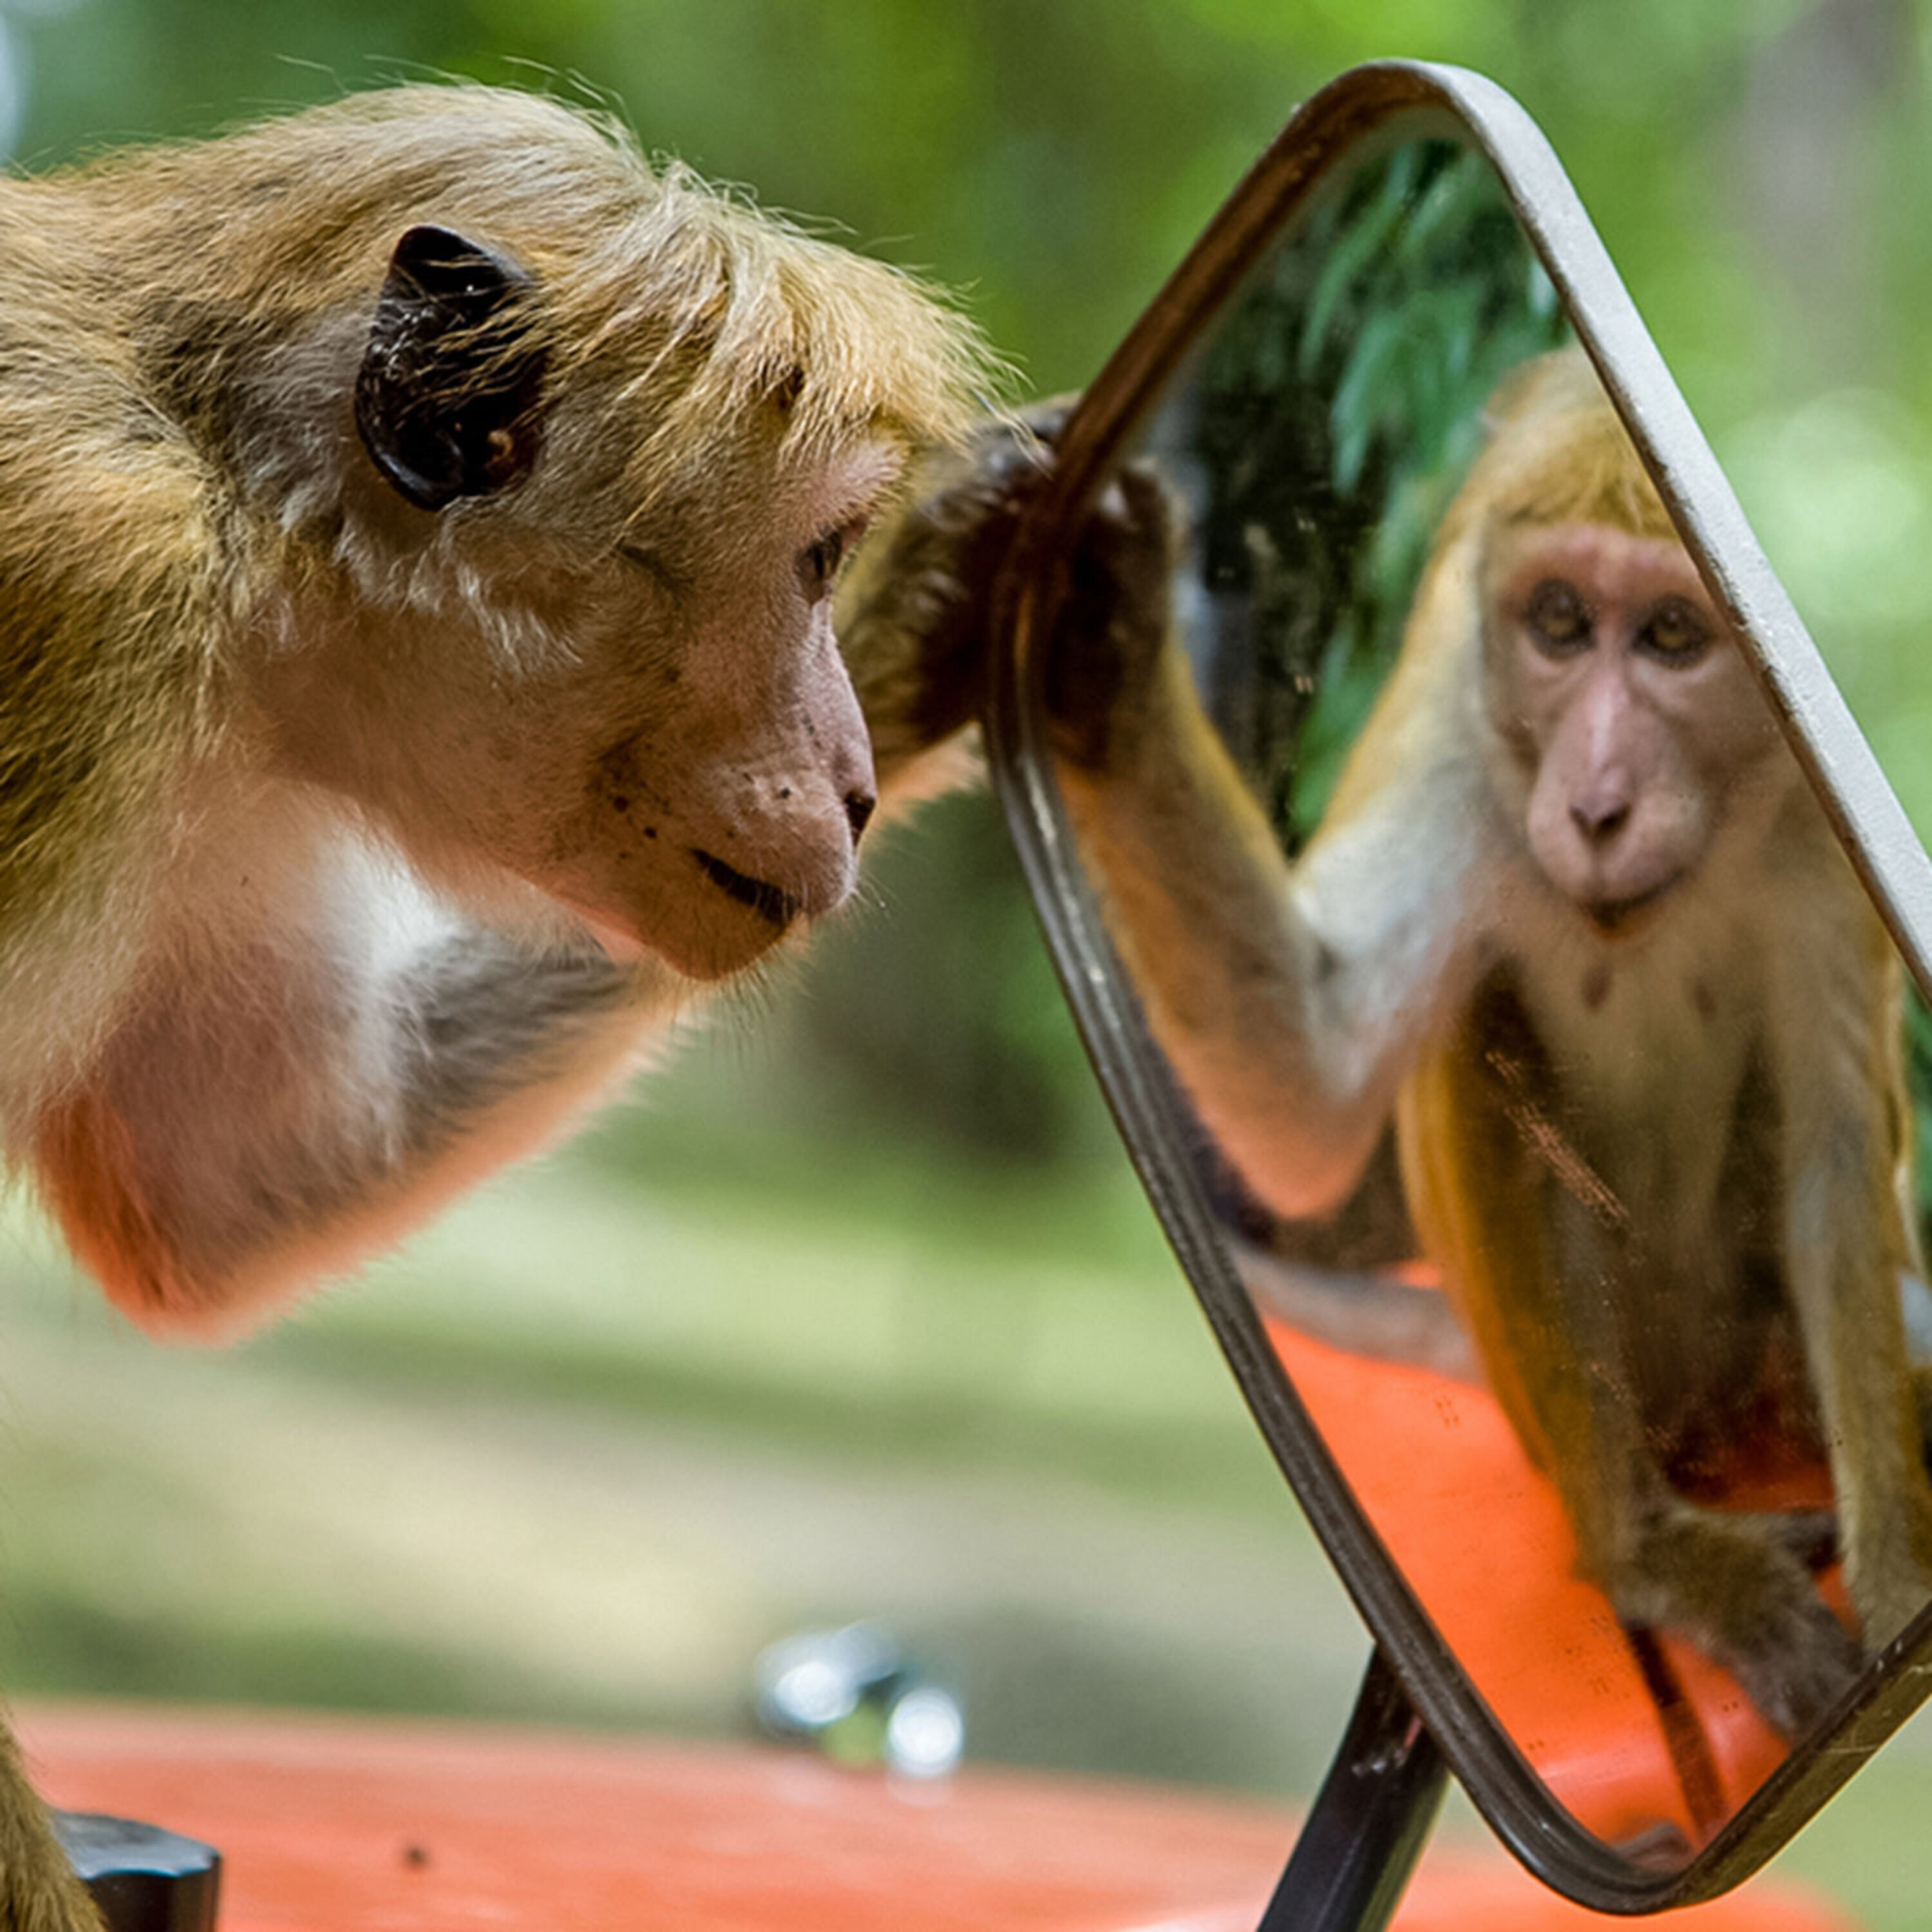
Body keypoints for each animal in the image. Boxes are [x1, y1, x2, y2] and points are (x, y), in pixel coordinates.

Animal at [0, 83, 999, 1929]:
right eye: (813, 557)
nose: (848, 781)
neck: (246, 517)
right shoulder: (94, 595)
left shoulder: (234, 757)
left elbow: (225, 1187)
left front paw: (959, 609)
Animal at [1031, 346, 1932, 1746]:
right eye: (1557, 623)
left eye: (1672, 637)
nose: (1597, 802)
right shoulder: (1459, 739)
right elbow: (1315, 1076)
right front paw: (1104, 641)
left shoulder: (1820, 840)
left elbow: (1837, 1160)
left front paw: (1896, 1583)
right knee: (1476, 1033)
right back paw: (1645, 1555)